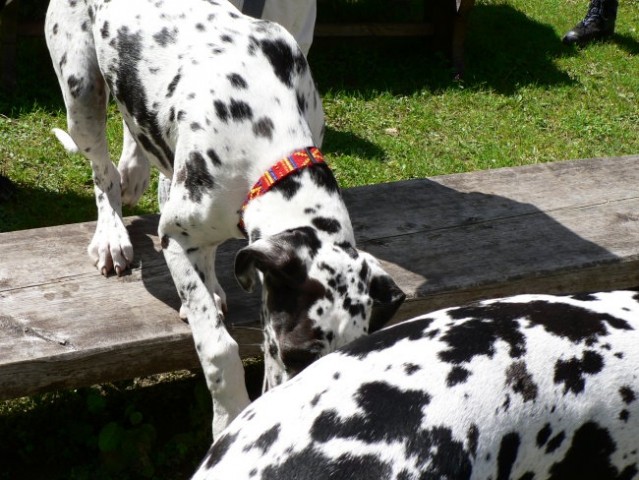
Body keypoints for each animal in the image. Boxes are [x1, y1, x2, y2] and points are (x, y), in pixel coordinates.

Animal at [45, 0, 404, 438]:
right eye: (293, 354)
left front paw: (211, 288)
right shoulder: (176, 237)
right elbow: (218, 346)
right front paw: (230, 414)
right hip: (81, 93)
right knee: (103, 172)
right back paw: (111, 234)